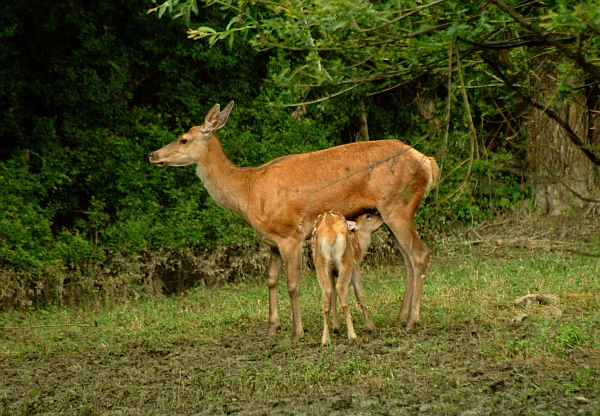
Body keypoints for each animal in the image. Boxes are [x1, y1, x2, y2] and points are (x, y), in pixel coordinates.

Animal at [312, 211, 382, 344]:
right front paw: (371, 327)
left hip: (320, 263)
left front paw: (336, 327)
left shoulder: (332, 271)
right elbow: (360, 294)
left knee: (327, 293)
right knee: (341, 289)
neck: (360, 246)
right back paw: (352, 335)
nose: (381, 217)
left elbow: (333, 296)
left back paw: (325, 339)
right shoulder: (355, 266)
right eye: (368, 216)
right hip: (346, 260)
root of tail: (330, 232)